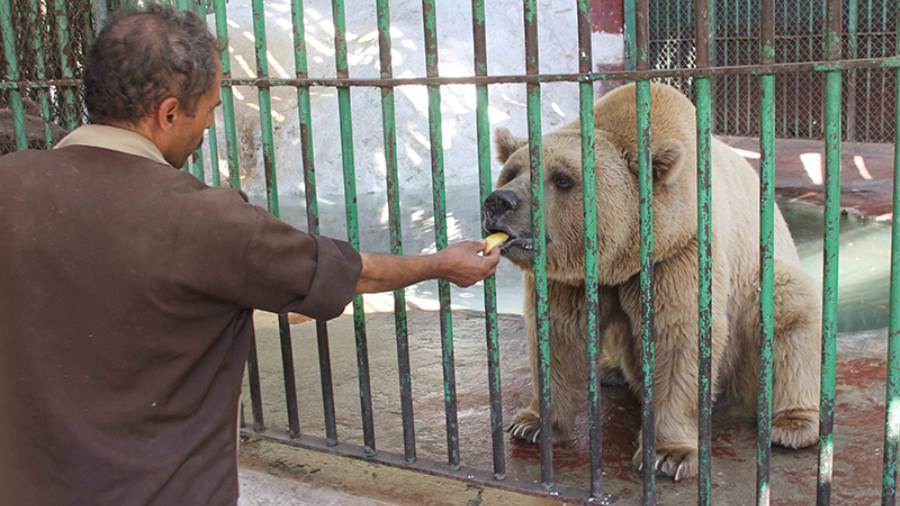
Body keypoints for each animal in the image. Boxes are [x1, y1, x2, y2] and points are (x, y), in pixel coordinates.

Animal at [486, 81, 824, 480]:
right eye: (512, 171)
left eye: (563, 179)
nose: (499, 201)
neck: (621, 258)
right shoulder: (572, 279)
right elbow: (559, 335)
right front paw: (532, 423)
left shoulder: (681, 254)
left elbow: (678, 339)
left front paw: (669, 455)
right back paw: (610, 369)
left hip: (763, 286)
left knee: (789, 311)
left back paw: (792, 424)